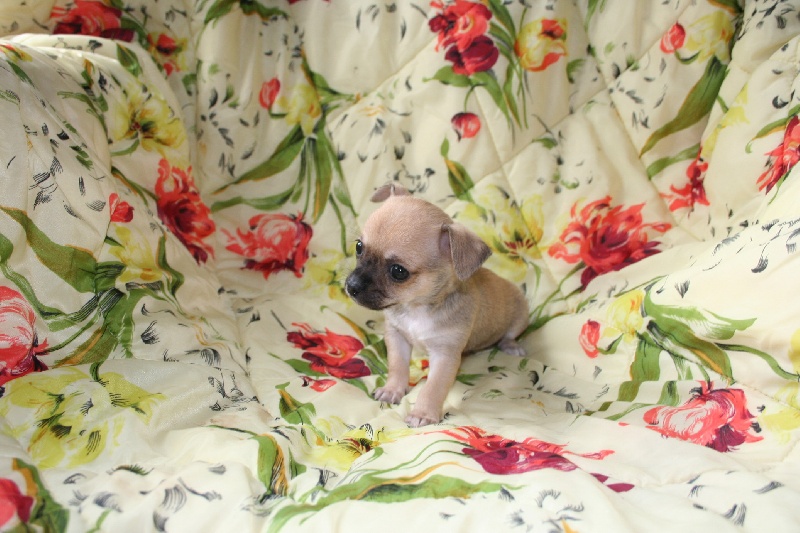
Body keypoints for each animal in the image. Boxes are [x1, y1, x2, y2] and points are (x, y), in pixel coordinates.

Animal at [345, 183, 529, 427]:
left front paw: (423, 413)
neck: (416, 308)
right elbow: (397, 366)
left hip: (521, 315)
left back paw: (511, 345)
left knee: (509, 335)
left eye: (398, 271)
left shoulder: (444, 356)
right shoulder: (397, 337)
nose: (351, 285)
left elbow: (432, 388)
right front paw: (393, 389)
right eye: (358, 247)